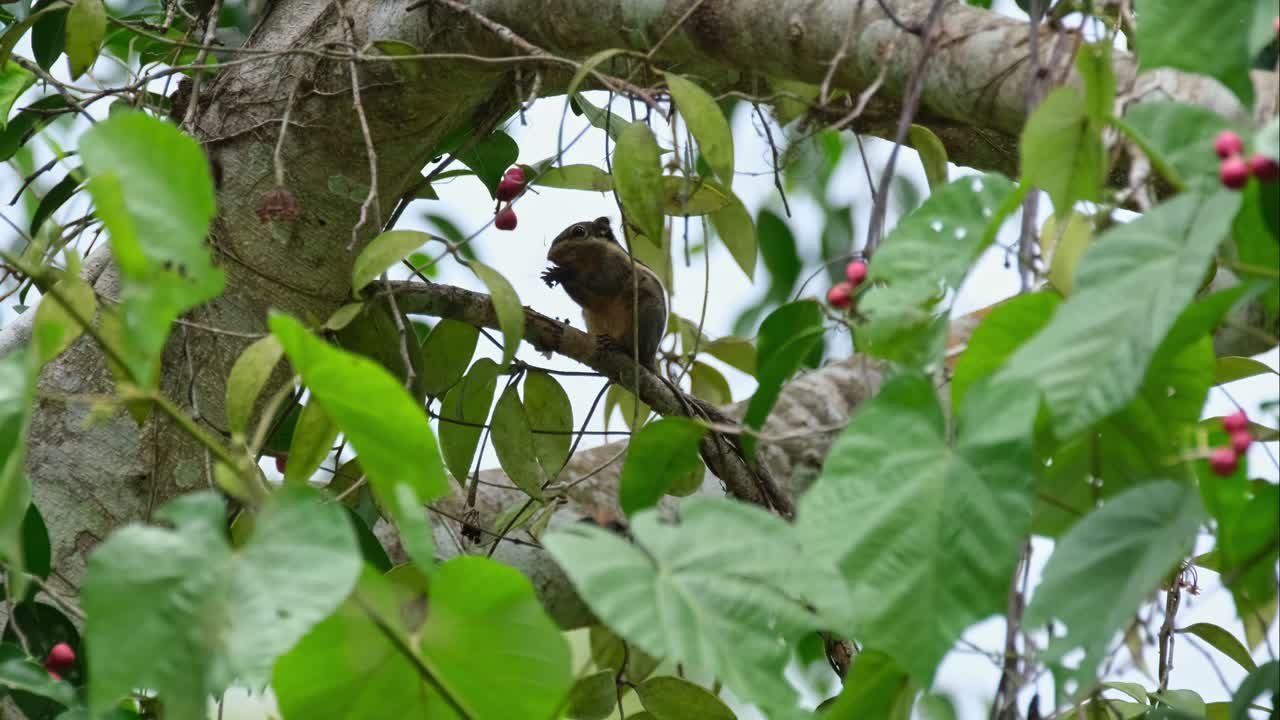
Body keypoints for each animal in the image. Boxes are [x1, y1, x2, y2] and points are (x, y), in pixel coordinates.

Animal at [541, 217, 668, 371]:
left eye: (579, 231)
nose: (550, 256)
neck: (587, 263)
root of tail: (650, 360)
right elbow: (590, 300)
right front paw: (554, 273)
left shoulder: (615, 265)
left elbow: (604, 285)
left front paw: (562, 273)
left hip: (647, 313)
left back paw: (620, 345)